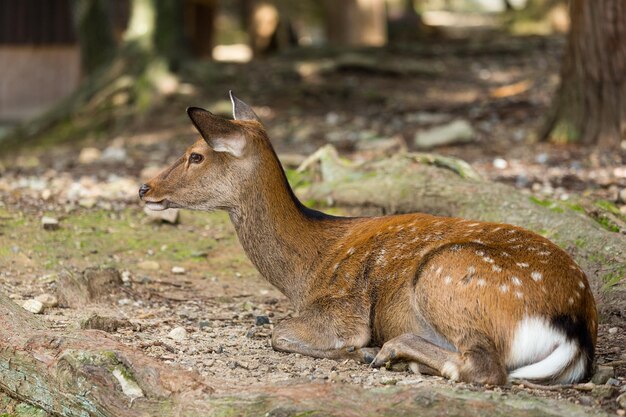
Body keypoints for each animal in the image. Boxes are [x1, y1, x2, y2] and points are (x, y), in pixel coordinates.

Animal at [139, 92, 596, 386]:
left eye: (196, 154)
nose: (144, 188)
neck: (304, 272)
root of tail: (575, 327)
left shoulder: (343, 308)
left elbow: (279, 332)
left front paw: (356, 351)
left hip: (447, 274)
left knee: (485, 369)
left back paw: (389, 353)